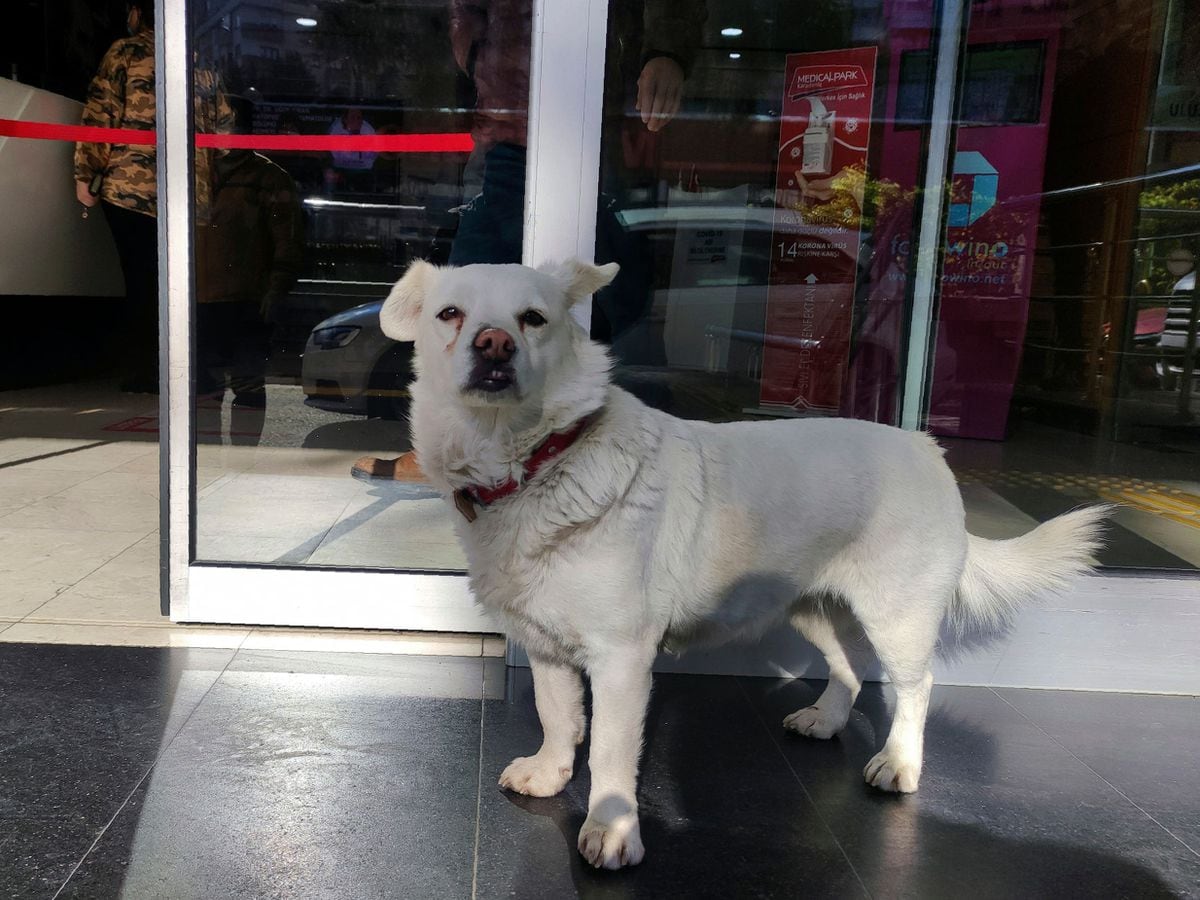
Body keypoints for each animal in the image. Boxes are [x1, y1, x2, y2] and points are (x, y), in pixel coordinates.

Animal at [379, 260, 1108, 873]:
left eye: (533, 319)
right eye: (450, 314)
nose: (494, 345)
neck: (534, 461)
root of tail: (929, 448)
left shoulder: (621, 658)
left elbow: (611, 752)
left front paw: (612, 833)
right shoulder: (547, 645)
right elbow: (559, 717)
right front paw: (550, 773)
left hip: (896, 614)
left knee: (915, 686)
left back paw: (898, 763)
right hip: (811, 608)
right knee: (849, 667)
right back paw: (825, 721)